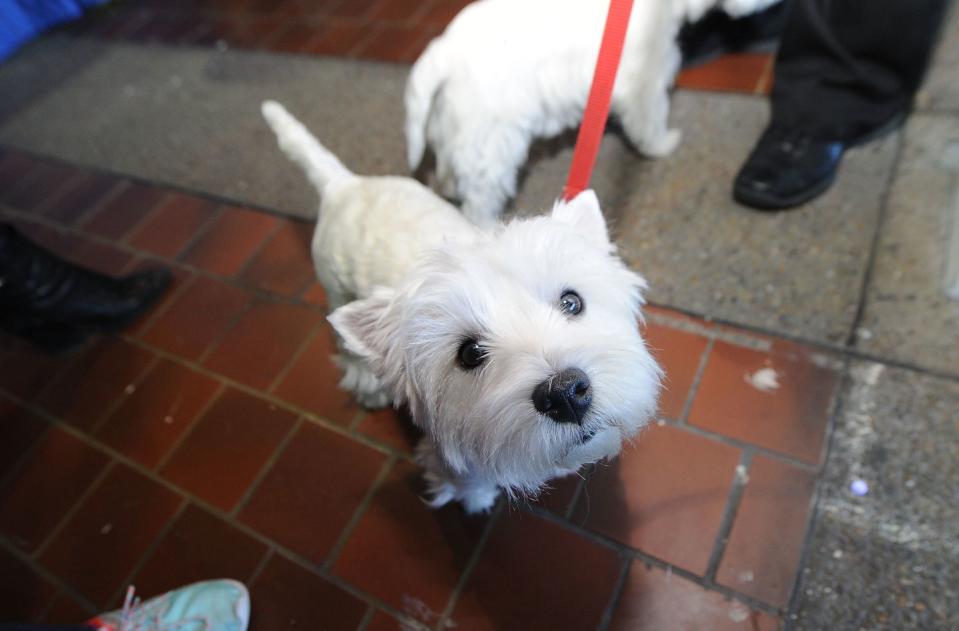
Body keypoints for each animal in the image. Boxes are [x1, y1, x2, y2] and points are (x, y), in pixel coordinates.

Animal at [258, 99, 664, 512]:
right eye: (469, 353)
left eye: (572, 302)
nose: (565, 394)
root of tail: (344, 185)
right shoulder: (450, 451)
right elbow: (465, 477)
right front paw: (476, 499)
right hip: (336, 286)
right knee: (345, 344)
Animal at [404, 0, 780, 226]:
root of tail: (445, 50)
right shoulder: (645, 80)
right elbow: (650, 120)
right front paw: (663, 145)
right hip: (492, 144)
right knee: (479, 200)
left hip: (456, 128)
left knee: (449, 171)